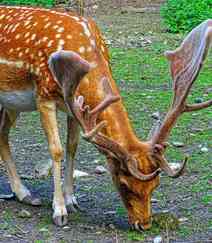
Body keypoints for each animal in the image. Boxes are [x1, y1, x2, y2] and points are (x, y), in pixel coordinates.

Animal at [0, 5, 211, 230]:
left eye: (156, 185)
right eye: (124, 184)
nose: (144, 224)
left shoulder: (74, 106)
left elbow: (72, 146)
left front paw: (71, 200)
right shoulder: (44, 95)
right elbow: (56, 150)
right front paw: (59, 210)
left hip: (11, 104)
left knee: (2, 133)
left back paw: (23, 194)